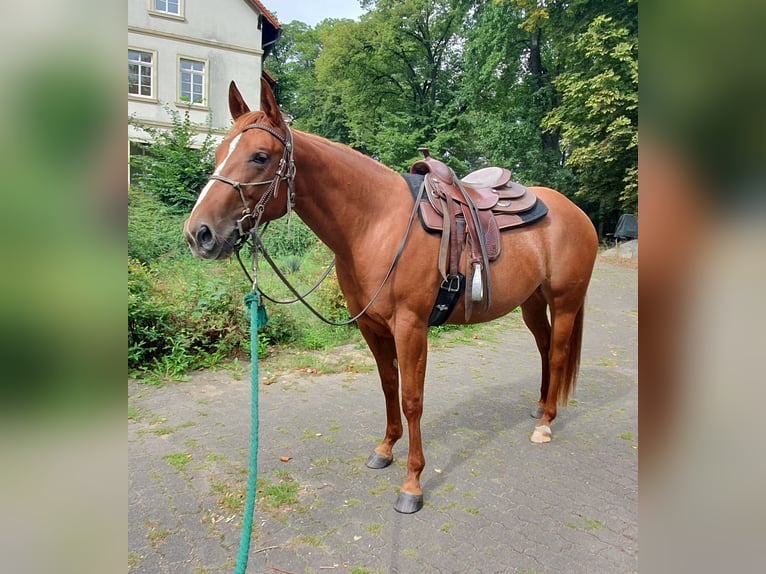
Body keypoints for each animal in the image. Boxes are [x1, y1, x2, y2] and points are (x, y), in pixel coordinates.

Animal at [183, 79, 598, 514]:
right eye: (218, 153)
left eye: (260, 156)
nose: (199, 234)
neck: (376, 223)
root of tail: (576, 212)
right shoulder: (371, 326)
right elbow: (387, 386)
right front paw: (385, 449)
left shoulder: (411, 327)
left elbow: (412, 398)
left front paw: (412, 483)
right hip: (531, 302)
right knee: (544, 347)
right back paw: (539, 407)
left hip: (565, 301)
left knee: (558, 352)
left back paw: (546, 423)